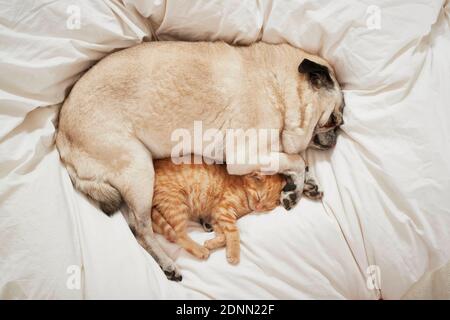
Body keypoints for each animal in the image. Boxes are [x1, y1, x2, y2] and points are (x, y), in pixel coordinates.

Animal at [151, 158, 284, 264]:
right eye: (258, 197)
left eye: (266, 207)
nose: (258, 208)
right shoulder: (224, 210)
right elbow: (234, 232)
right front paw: (234, 253)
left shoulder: (216, 217)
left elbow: (223, 236)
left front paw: (212, 242)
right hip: (176, 203)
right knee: (179, 235)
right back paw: (200, 250)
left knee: (163, 230)